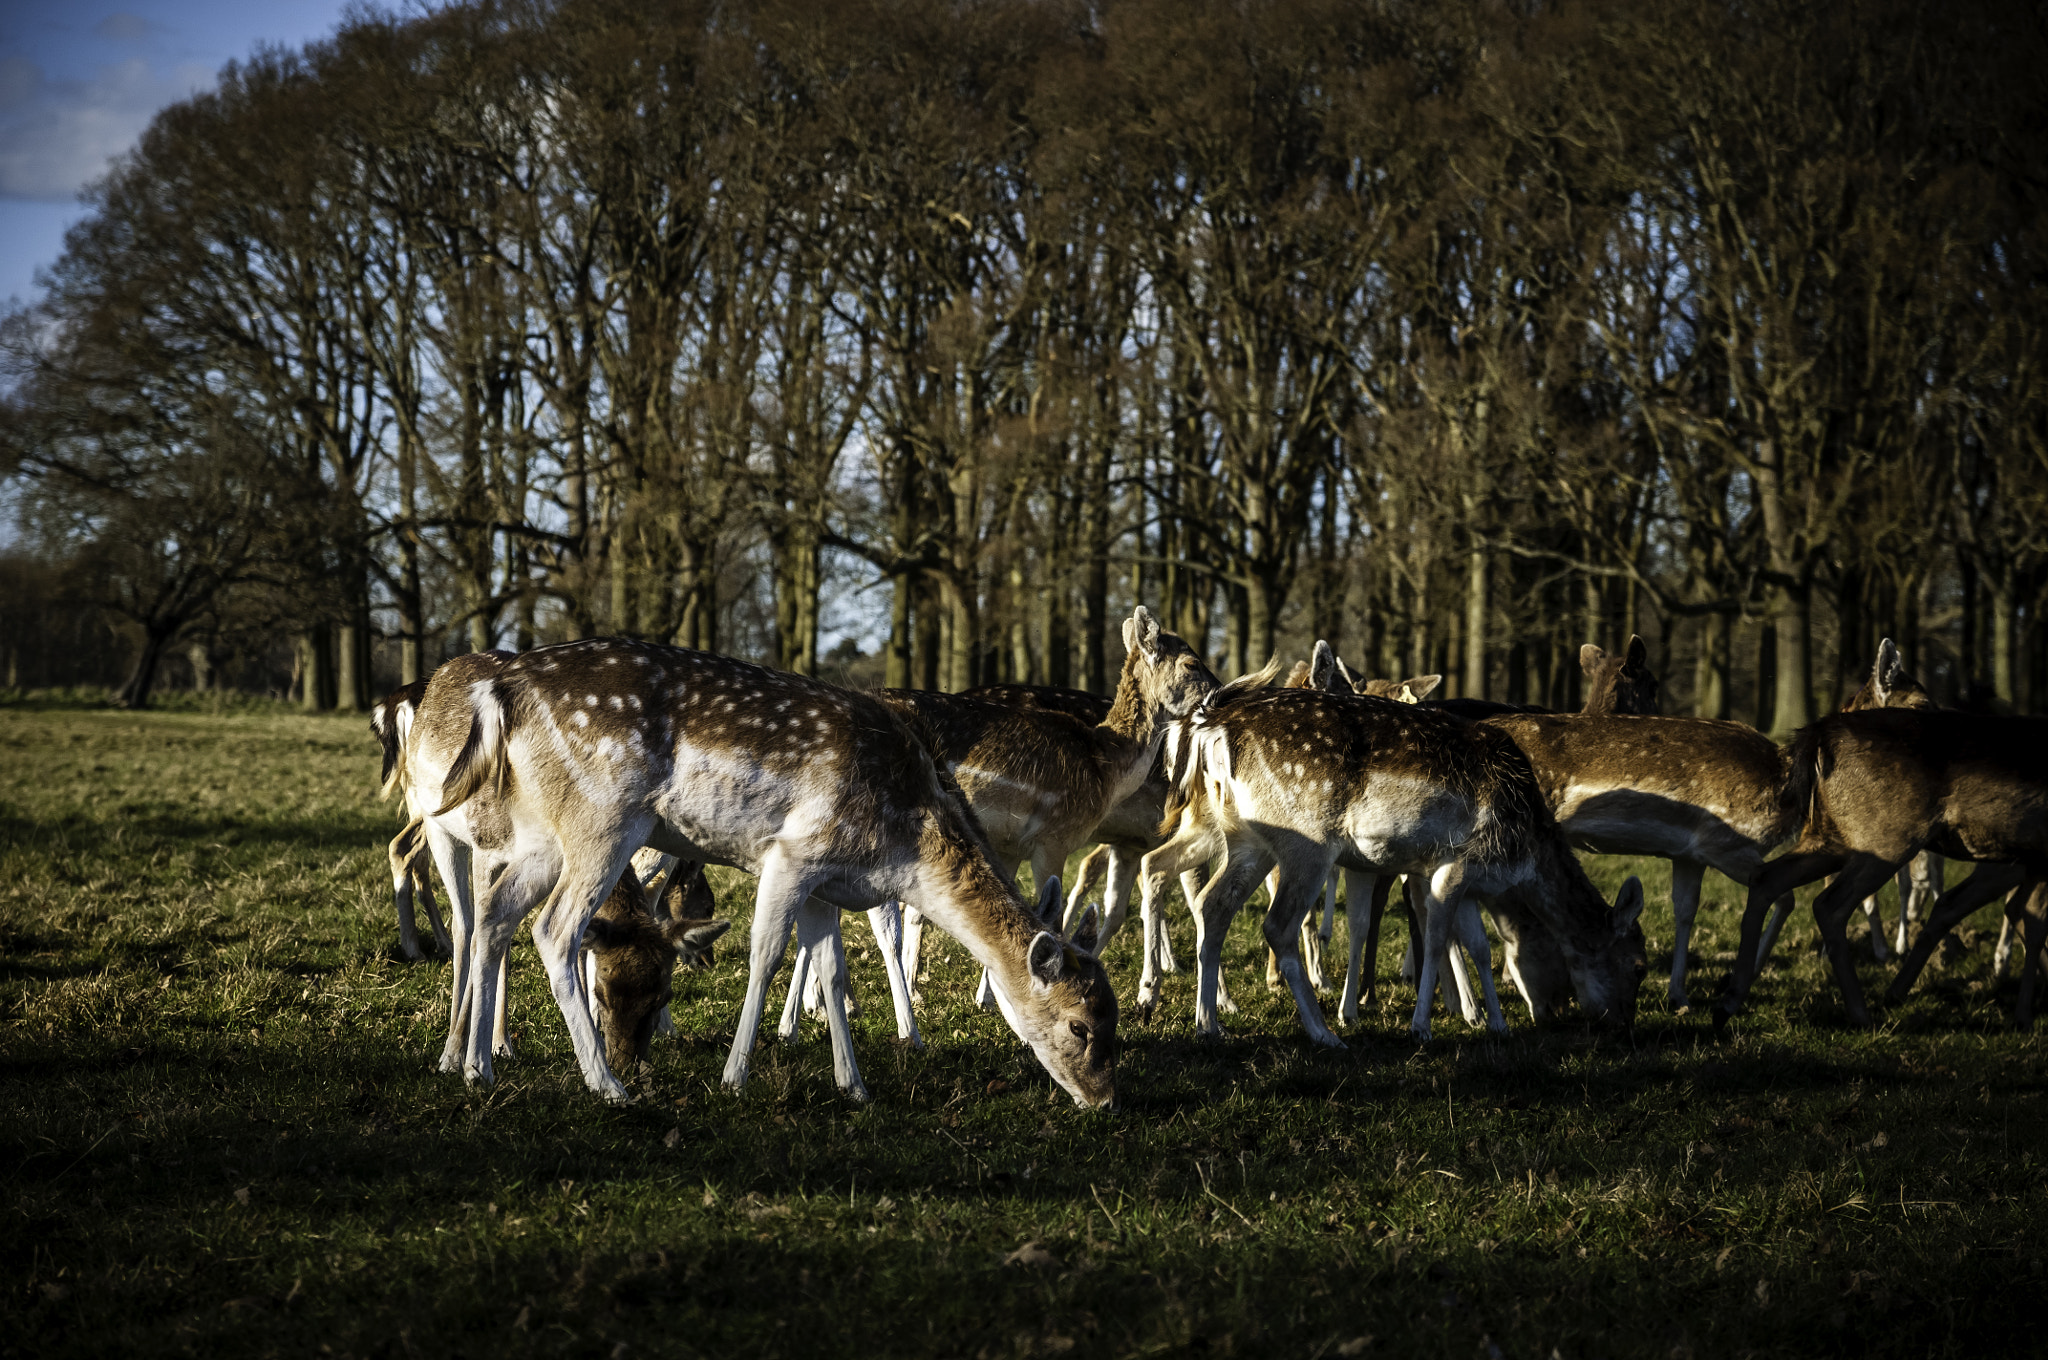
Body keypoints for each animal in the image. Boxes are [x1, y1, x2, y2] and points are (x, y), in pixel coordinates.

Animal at [405, 639, 1122, 1106]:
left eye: (1114, 1019)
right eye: (1080, 1026)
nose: (1105, 1100)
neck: (901, 847)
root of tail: (503, 692)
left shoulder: (827, 883)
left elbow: (833, 972)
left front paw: (855, 1086)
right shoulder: (793, 853)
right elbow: (766, 955)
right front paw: (735, 1077)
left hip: (538, 832)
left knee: (495, 916)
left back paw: (477, 1068)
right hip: (602, 820)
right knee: (553, 930)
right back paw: (607, 1085)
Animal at [1138, 684, 1646, 1044]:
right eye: (1639, 966)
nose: (1623, 1024)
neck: (1523, 849)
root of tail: (1212, 727)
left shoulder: (1461, 875)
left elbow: (1479, 946)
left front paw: (1496, 1024)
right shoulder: (1453, 863)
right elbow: (1438, 941)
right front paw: (1422, 1027)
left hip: (1242, 837)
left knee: (1210, 902)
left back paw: (1209, 1023)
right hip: (1307, 841)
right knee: (1276, 924)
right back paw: (1322, 1034)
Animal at [1712, 712, 2048, 1032]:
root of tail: (1818, 735)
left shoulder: (2033, 862)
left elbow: (2028, 917)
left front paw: (2025, 1014)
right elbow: (2033, 921)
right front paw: (2025, 1017)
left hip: (1831, 834)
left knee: (1767, 878)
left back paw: (1729, 1001)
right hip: (1888, 836)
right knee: (1831, 903)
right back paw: (1863, 1014)